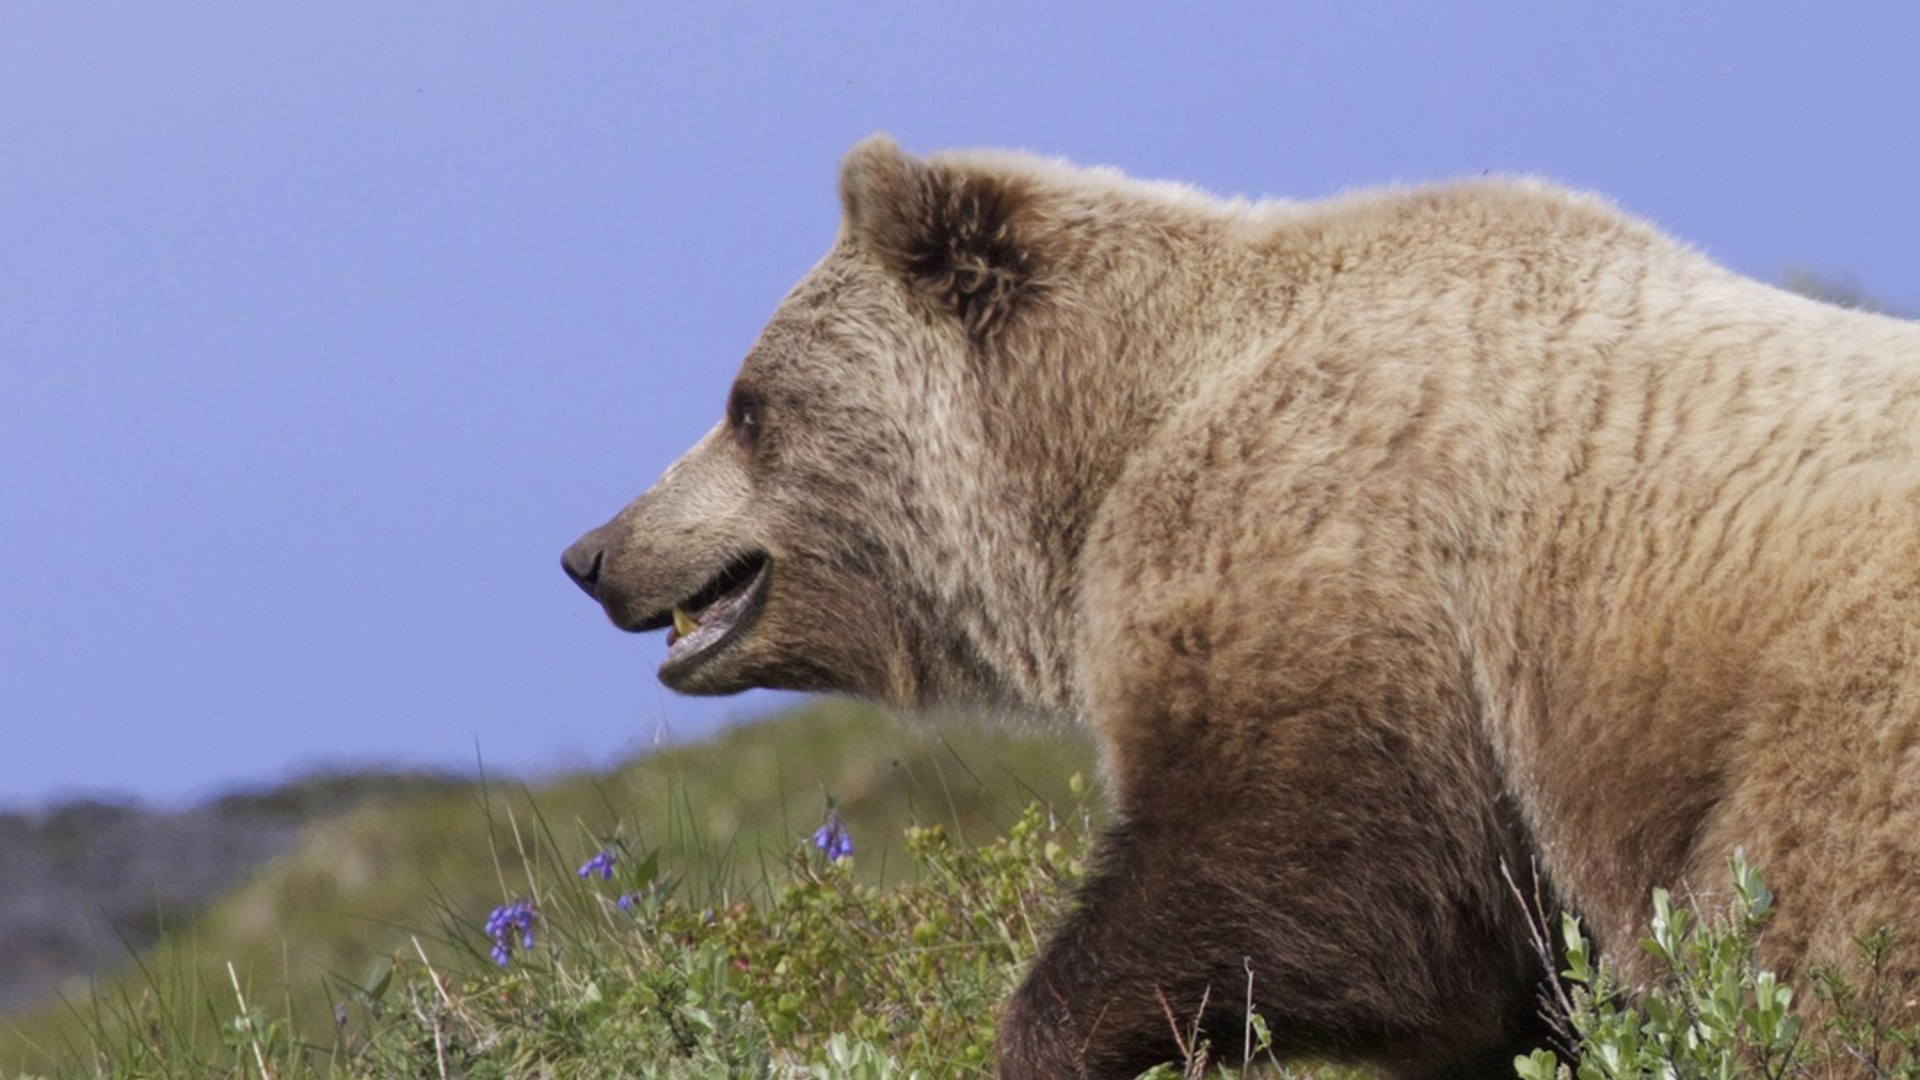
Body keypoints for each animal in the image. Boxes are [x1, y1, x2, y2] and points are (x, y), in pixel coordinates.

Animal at [563, 135, 1920, 1078]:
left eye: (747, 405)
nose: (593, 551)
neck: (1098, 460)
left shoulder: (1336, 566)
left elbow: (1315, 873)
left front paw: (1067, 1032)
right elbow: (1498, 985)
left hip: (1830, 731)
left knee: (1826, 967)